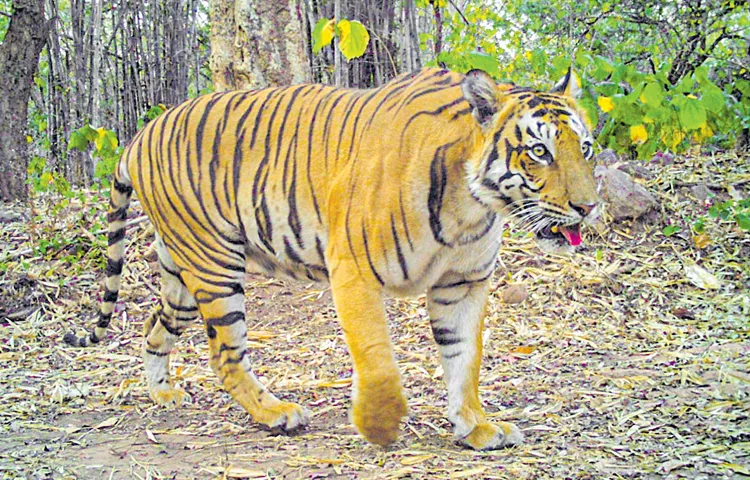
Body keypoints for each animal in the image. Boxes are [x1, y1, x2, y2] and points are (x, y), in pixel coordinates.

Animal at [66, 66, 604, 450]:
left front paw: (475, 427)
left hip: (181, 272)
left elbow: (464, 359)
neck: (471, 208)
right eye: (539, 152)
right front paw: (381, 427)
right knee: (225, 353)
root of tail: (141, 133)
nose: (589, 206)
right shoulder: (354, 270)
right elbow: (378, 361)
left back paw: (162, 391)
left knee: (153, 325)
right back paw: (275, 414)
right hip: (215, 265)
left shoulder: (463, 284)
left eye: (587, 148)